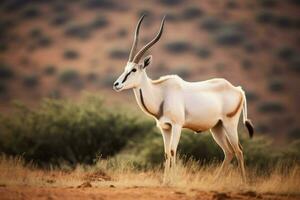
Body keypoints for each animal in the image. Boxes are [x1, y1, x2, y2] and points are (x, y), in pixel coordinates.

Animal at [112, 15, 253, 181]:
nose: (116, 84)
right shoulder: (165, 127)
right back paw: (216, 181)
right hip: (217, 127)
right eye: (125, 69)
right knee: (229, 151)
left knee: (239, 150)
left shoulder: (177, 125)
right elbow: (166, 153)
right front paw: (165, 181)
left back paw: (244, 183)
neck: (161, 92)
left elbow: (173, 151)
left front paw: (172, 181)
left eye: (133, 70)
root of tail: (238, 89)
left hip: (229, 124)